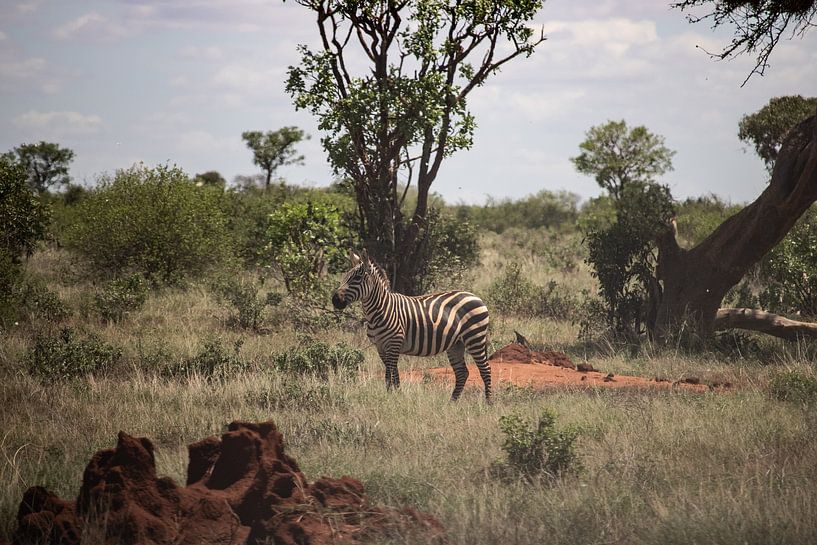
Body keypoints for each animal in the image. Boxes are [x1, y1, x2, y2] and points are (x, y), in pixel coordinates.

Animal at [331, 249, 492, 401]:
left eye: (357, 278)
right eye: (345, 277)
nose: (335, 300)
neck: (381, 310)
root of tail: (475, 296)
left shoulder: (394, 343)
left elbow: (390, 375)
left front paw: (392, 398)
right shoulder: (380, 347)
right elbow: (393, 375)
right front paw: (395, 396)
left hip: (475, 338)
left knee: (485, 370)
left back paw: (488, 403)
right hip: (456, 344)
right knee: (462, 373)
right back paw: (451, 403)